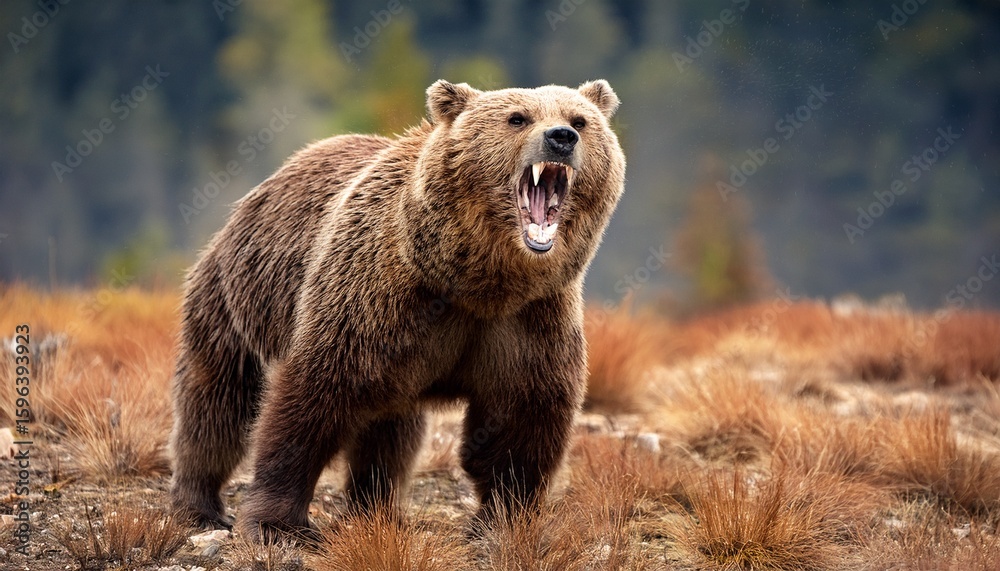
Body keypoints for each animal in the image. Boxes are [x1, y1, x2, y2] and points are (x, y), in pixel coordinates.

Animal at [169, 79, 626, 541]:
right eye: (517, 118)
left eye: (579, 120)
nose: (561, 138)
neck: (476, 282)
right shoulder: (376, 297)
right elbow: (312, 397)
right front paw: (276, 523)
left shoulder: (528, 317)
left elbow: (520, 416)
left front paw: (503, 519)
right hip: (233, 297)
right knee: (217, 404)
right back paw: (199, 504)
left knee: (390, 430)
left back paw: (377, 508)